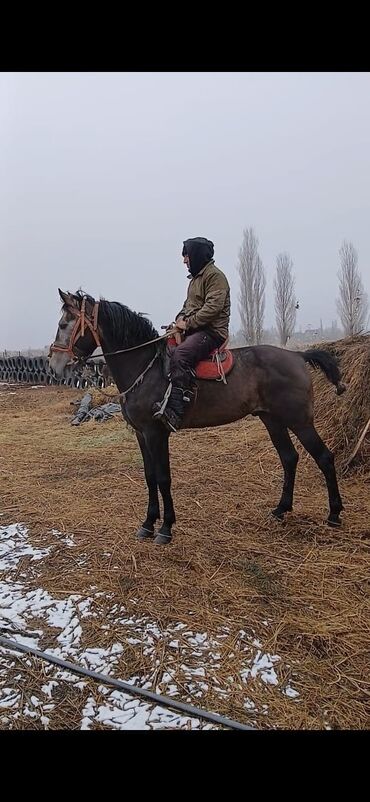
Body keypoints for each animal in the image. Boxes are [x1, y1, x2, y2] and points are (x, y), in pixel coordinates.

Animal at [47, 288, 346, 544]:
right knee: (289, 458)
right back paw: (281, 509)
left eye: (63, 324)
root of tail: (297, 356)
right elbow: (149, 476)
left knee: (324, 457)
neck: (145, 368)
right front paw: (148, 524)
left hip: (300, 422)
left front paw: (165, 528)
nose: (54, 365)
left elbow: (163, 477)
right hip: (272, 420)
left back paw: (334, 513)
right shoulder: (141, 435)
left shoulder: (156, 434)